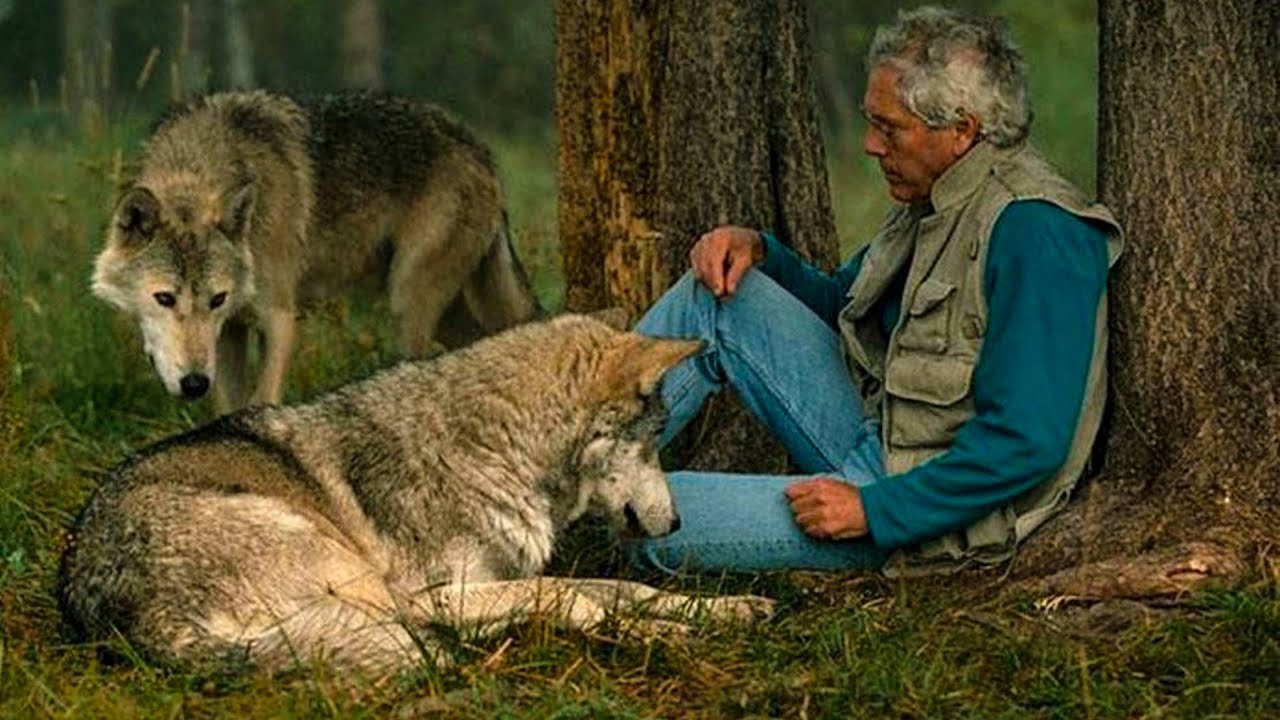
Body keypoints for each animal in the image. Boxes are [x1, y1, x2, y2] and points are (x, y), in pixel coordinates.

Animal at [60, 312, 768, 671]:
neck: (493, 451)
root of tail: (115, 617)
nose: (676, 525)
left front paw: (724, 610)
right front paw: (662, 637)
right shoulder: (436, 594)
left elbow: (623, 588)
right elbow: (571, 594)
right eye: (656, 440)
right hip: (363, 585)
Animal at [90, 89, 540, 412]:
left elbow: (262, 400)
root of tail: (478, 147)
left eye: (215, 299)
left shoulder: (279, 319)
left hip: (407, 303)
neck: (199, 166)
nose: (195, 383)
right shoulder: (230, 332)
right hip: (445, 312)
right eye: (164, 298)